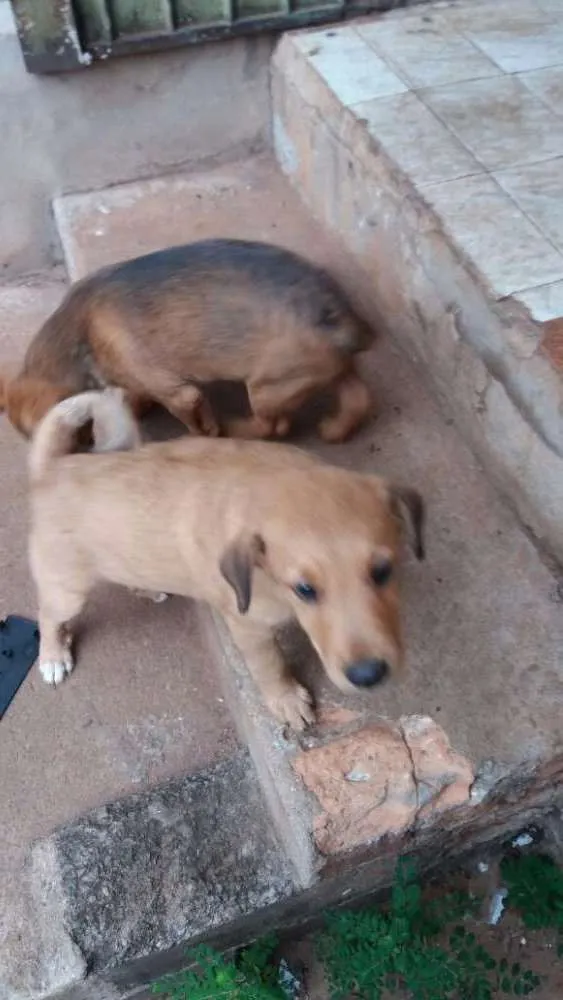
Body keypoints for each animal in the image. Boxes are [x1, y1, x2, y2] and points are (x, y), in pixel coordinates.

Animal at [1, 238, 374, 442]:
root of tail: (338, 317)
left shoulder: (178, 393)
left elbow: (193, 420)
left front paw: (206, 433)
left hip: (267, 387)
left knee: (274, 426)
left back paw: (239, 428)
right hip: (325, 370)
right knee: (358, 398)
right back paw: (336, 429)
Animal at [27, 388, 424, 728]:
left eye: (383, 571)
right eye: (305, 590)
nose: (368, 676)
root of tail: (51, 468)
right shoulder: (248, 626)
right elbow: (269, 666)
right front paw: (287, 701)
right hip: (67, 588)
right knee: (48, 616)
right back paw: (52, 657)